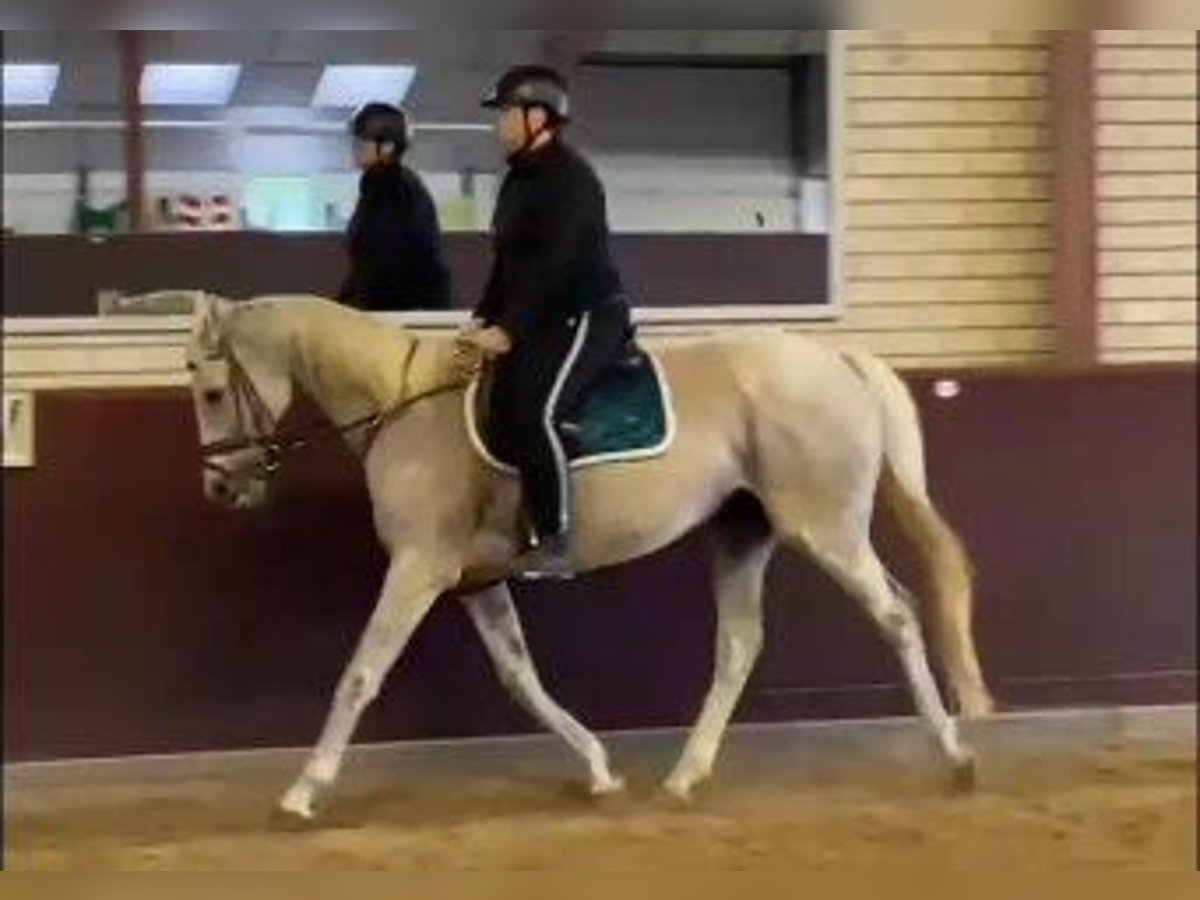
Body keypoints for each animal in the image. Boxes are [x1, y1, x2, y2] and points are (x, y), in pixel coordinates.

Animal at [174, 292, 993, 820]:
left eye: (212, 391)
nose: (219, 487)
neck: (403, 406)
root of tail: (837, 358)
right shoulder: (470, 580)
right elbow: (521, 678)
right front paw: (599, 771)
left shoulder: (418, 568)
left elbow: (360, 673)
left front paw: (304, 790)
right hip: (742, 533)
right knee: (738, 645)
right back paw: (684, 778)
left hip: (824, 528)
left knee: (896, 615)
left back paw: (956, 759)